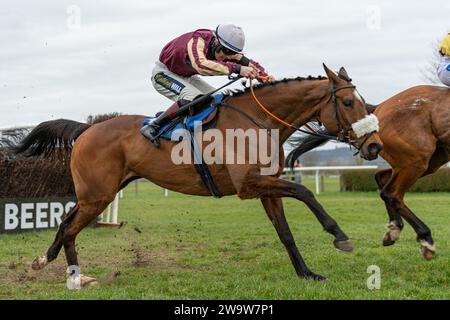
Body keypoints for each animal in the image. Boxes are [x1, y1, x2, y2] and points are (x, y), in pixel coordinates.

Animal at [12, 65, 382, 284]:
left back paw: (46, 261)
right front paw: (339, 236)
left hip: (96, 193)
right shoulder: (249, 185)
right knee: (70, 228)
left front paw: (306, 273)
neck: (260, 121)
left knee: (66, 223)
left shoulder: (267, 188)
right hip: (97, 195)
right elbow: (306, 193)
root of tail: (87, 128)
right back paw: (74, 276)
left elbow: (286, 233)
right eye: (348, 102)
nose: (375, 145)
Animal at [288, 77, 450, 262]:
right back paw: (425, 239)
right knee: (391, 193)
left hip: (429, 161)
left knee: (382, 179)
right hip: (416, 160)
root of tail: (380, 107)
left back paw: (395, 228)